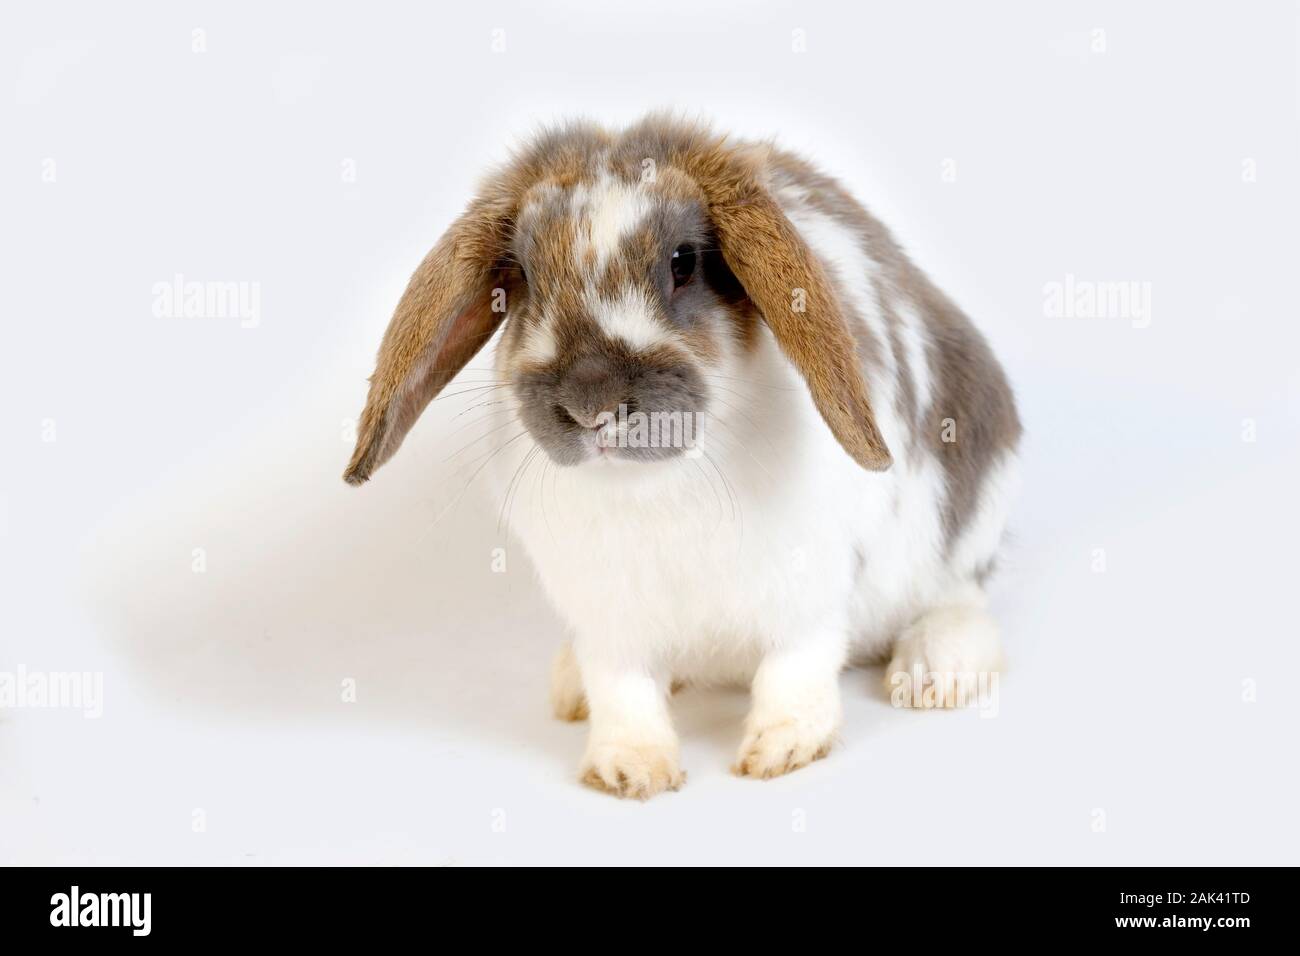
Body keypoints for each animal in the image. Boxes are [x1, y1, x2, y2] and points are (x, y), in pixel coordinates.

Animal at [343, 115, 1022, 799]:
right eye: (524, 275)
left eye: (683, 262)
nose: (592, 404)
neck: (647, 486)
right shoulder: (606, 619)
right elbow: (622, 689)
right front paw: (631, 769)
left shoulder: (807, 595)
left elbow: (794, 667)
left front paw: (781, 750)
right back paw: (570, 689)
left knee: (960, 600)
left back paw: (934, 674)